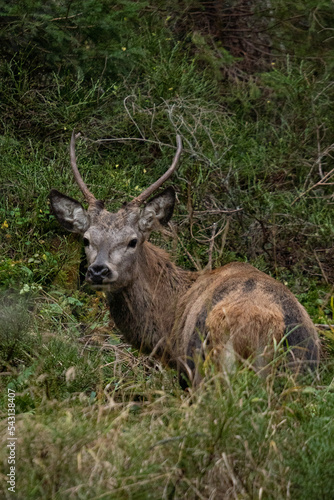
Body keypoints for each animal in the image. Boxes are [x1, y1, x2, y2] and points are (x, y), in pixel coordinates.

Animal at [50, 133, 320, 386]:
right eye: (86, 239)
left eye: (133, 241)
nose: (98, 271)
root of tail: (261, 327)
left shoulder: (186, 370)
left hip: (208, 367)